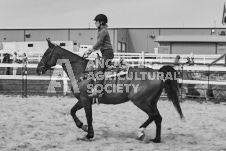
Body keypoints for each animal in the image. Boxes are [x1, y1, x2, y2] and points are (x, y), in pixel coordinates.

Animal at [35, 39, 184, 143]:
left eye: (47, 53)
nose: (38, 69)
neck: (81, 70)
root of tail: (158, 73)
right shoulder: (82, 99)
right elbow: (72, 111)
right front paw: (83, 127)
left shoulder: (85, 100)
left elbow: (89, 117)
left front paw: (89, 134)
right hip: (152, 102)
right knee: (158, 118)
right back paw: (156, 139)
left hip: (140, 101)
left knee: (153, 116)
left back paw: (140, 132)